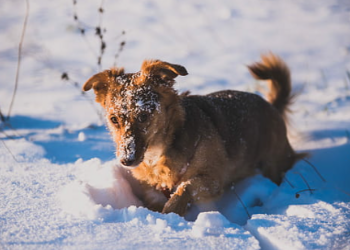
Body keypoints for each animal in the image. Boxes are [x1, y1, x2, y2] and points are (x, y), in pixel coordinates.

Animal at [82, 53, 306, 216]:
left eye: (144, 116)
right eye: (113, 120)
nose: (126, 161)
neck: (158, 153)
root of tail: (272, 106)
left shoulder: (213, 179)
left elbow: (185, 187)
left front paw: (172, 213)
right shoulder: (151, 191)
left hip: (274, 164)